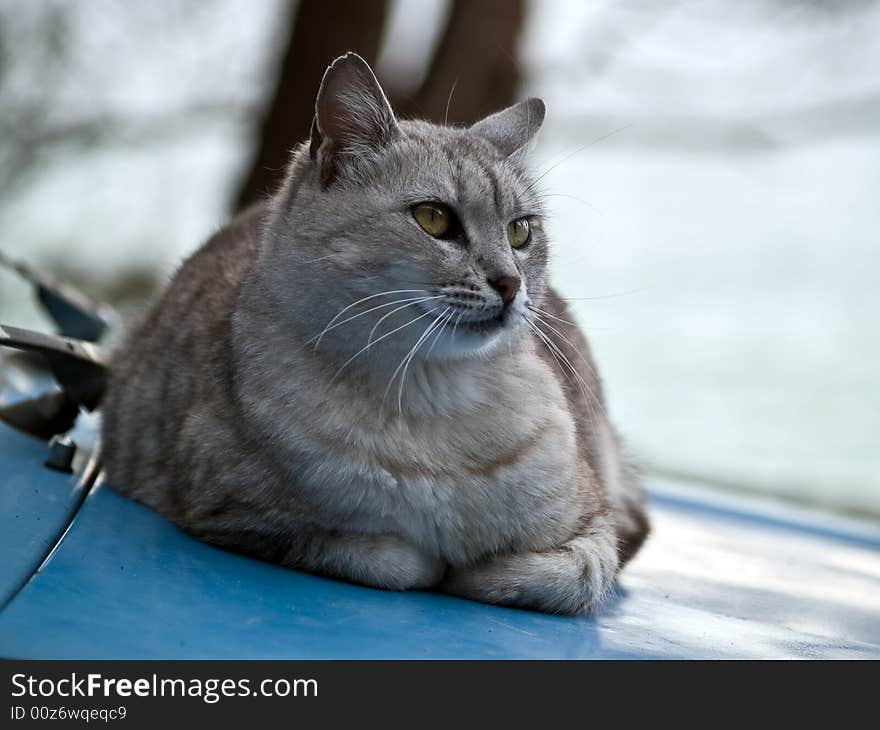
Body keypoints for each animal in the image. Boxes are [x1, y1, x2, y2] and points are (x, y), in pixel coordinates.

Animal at [101, 51, 648, 612]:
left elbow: (565, 576)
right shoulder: (234, 515)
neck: (433, 400)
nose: (510, 283)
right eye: (433, 218)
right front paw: (440, 565)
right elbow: (393, 560)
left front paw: (482, 571)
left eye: (520, 231)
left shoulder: (595, 528)